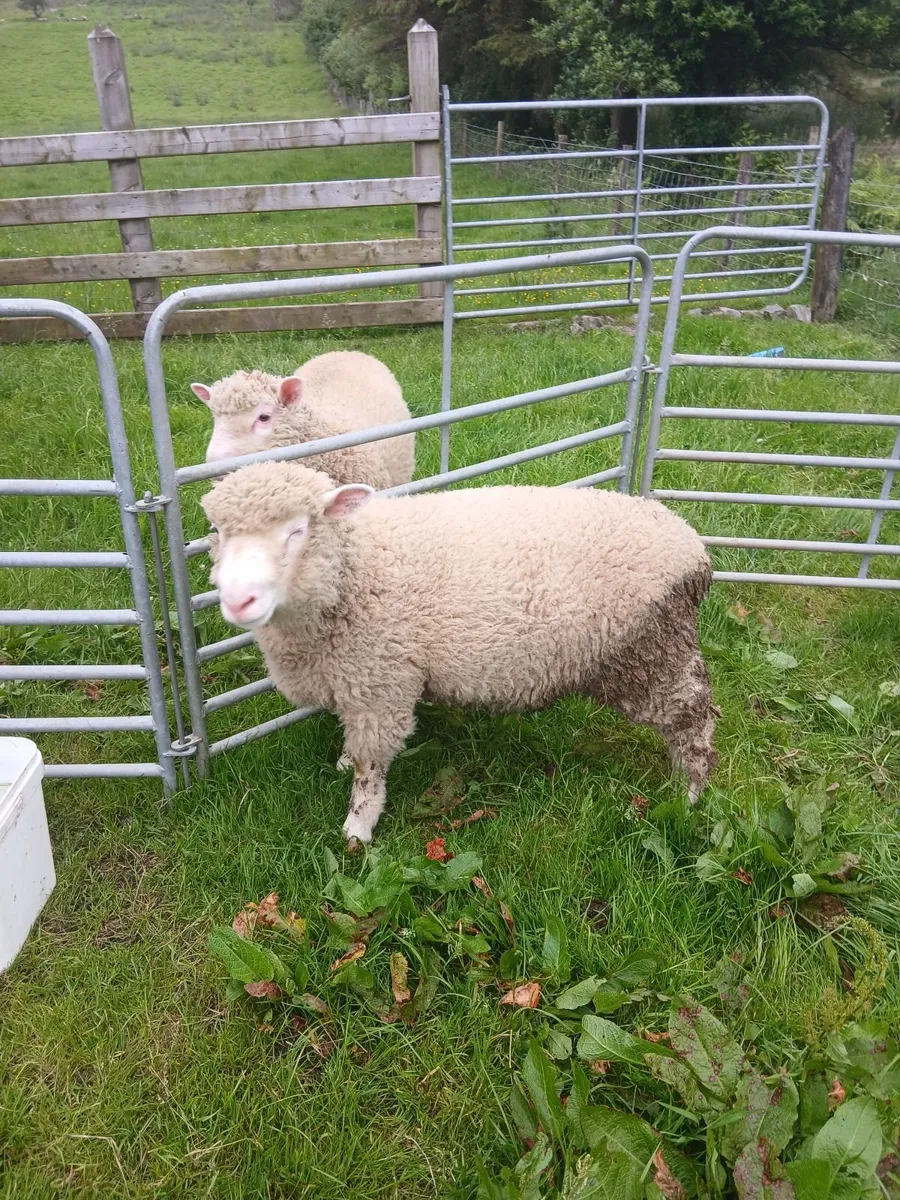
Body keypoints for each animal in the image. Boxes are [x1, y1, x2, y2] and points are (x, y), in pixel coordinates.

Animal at [202, 461, 718, 847]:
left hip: (650, 652)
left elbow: (371, 768)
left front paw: (359, 828)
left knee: (694, 720)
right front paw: (344, 762)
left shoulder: (381, 686)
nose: (238, 600)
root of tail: (693, 548)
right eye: (217, 532)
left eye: (297, 530)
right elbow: (355, 747)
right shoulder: (355, 683)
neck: (356, 567)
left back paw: (687, 794)